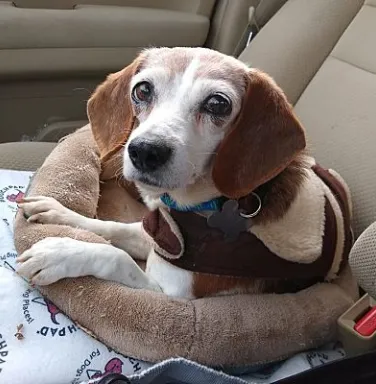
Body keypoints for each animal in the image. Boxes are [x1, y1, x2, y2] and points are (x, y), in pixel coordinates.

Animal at [16, 48, 352, 298]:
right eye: (142, 89)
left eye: (217, 103)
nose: (145, 151)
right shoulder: (158, 237)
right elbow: (112, 228)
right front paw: (59, 213)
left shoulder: (169, 294)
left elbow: (115, 257)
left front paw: (59, 253)